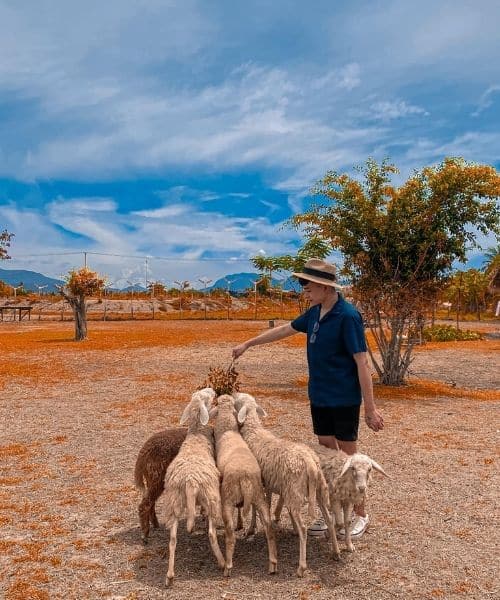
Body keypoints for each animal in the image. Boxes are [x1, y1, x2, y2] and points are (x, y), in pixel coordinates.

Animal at [162, 386, 225, 588]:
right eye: (206, 396)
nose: (213, 390)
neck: (197, 431)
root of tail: (190, 481)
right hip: (211, 495)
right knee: (212, 533)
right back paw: (222, 563)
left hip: (174, 502)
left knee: (173, 539)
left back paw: (170, 575)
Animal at [211, 394, 280, 576]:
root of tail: (246, 480)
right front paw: (246, 525)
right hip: (259, 496)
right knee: (269, 529)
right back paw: (273, 564)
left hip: (227, 500)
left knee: (230, 537)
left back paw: (227, 566)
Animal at [234, 392, 340, 580]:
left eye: (238, 400)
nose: (234, 394)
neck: (253, 431)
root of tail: (310, 462)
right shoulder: (268, 484)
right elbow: (268, 504)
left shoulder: (256, 483)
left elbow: (254, 509)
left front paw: (252, 528)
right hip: (319, 490)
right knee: (329, 519)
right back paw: (335, 552)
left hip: (295, 490)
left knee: (304, 528)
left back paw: (301, 567)